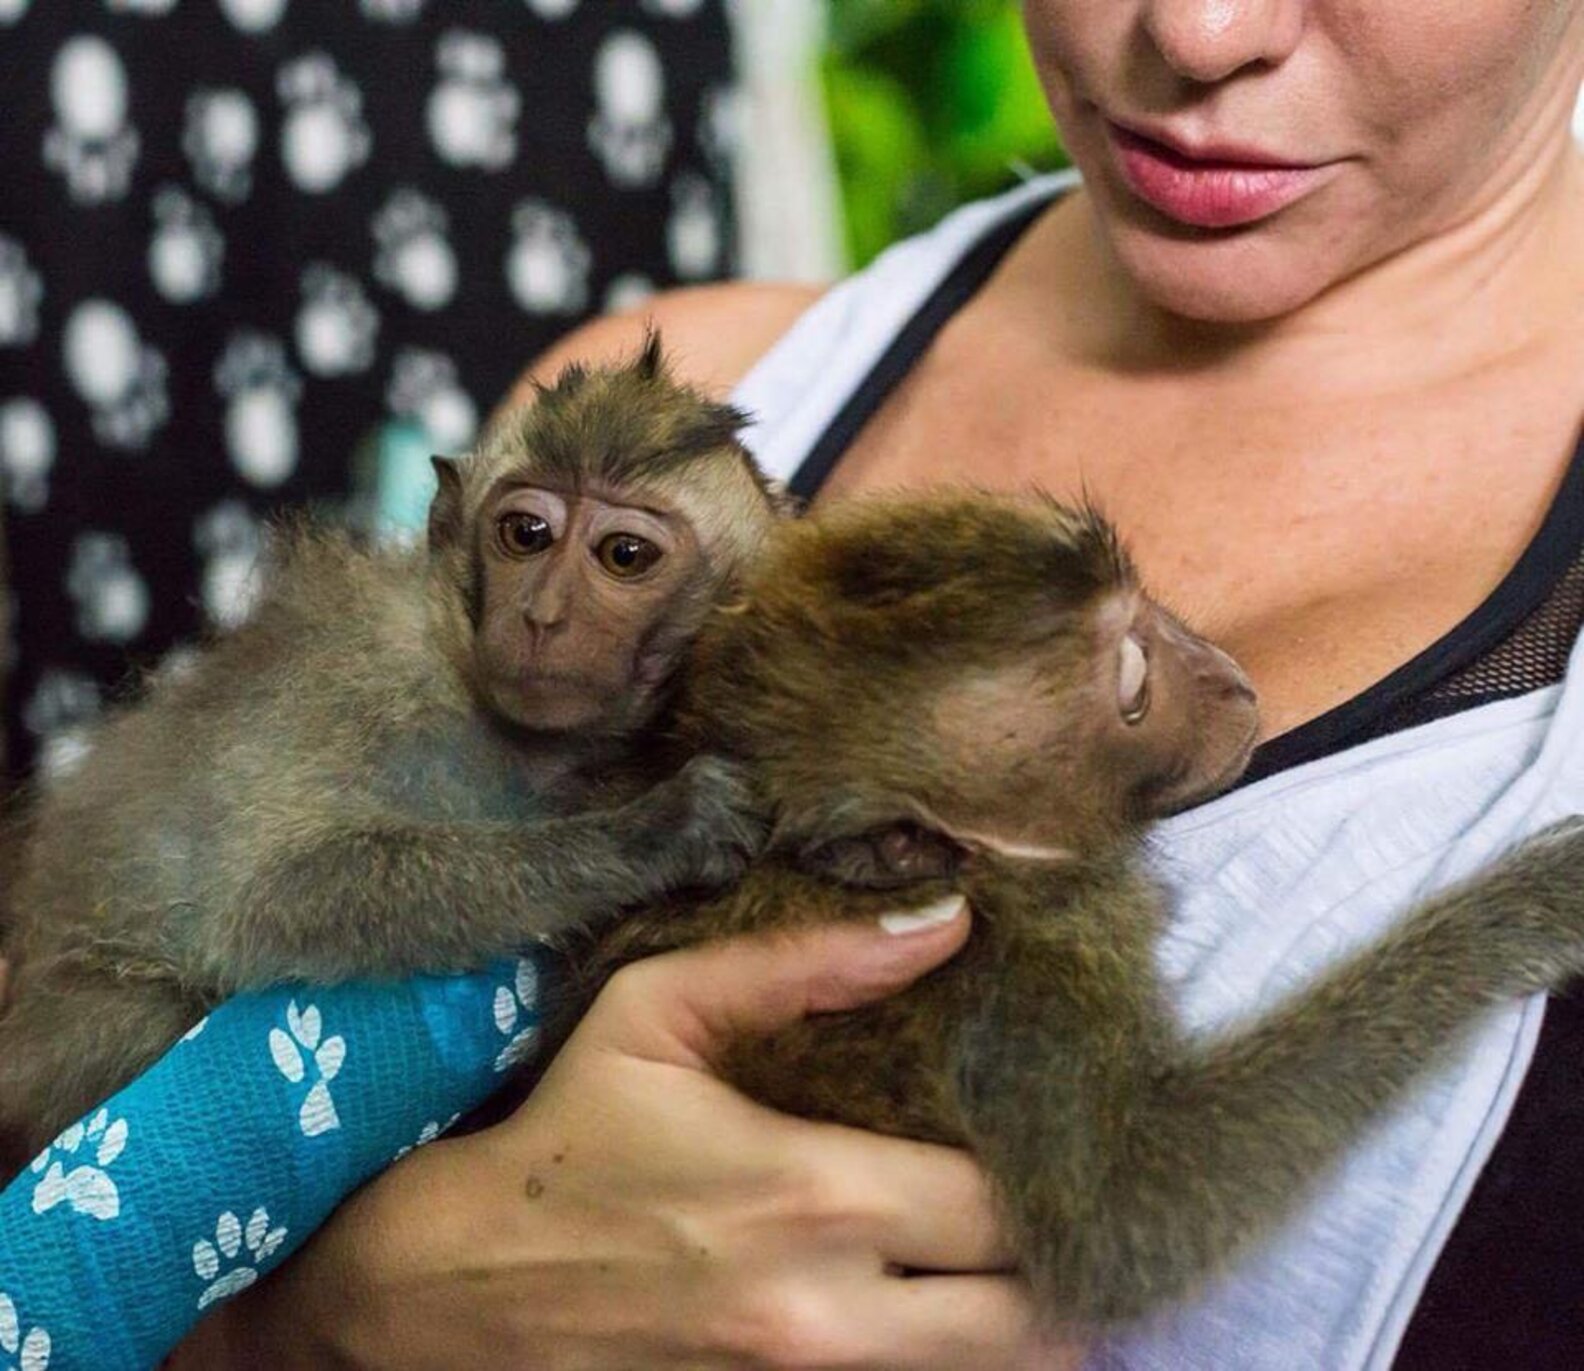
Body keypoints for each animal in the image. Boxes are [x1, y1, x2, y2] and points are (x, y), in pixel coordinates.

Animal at [0, 338, 782, 1166]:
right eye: (526, 534)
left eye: (624, 553)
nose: (542, 614)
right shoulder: (363, 683)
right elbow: (276, 892)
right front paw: (654, 829)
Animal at [571, 491, 1584, 1327]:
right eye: (1134, 685)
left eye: (1145, 615)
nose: (1226, 675)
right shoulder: (1016, 992)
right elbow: (1130, 1223)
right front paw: (1521, 911)